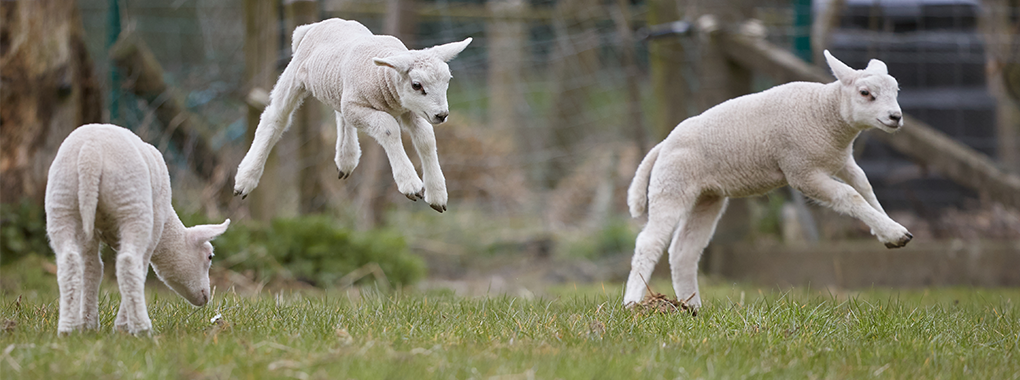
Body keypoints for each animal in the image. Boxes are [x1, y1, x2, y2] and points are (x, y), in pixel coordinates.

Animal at [46, 122, 229, 332]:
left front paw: (88, 325)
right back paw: (142, 328)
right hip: (132, 203)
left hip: (62, 199)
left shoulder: (90, 235)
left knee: (69, 261)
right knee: (128, 263)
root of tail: (90, 155)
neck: (167, 229)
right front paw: (124, 326)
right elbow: (140, 269)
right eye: (209, 256)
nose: (206, 298)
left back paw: (68, 329)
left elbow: (92, 269)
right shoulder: (154, 225)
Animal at [233, 17, 471, 211]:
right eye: (416, 85)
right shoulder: (363, 106)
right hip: (295, 76)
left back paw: (346, 158)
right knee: (276, 118)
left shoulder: (409, 109)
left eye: (448, 80)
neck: (383, 77)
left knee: (340, 113)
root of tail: (313, 26)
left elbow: (426, 139)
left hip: (339, 88)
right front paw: (410, 183)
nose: (442, 115)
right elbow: (388, 128)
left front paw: (437, 194)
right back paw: (246, 178)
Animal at [624, 51, 913, 307]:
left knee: (683, 252)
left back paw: (691, 307)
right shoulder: (802, 172)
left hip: (706, 196)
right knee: (649, 243)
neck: (824, 112)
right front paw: (894, 231)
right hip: (672, 185)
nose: (896, 117)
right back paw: (632, 302)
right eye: (865, 93)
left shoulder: (842, 161)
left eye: (896, 91)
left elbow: (865, 186)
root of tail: (663, 145)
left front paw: (887, 231)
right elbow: (850, 195)